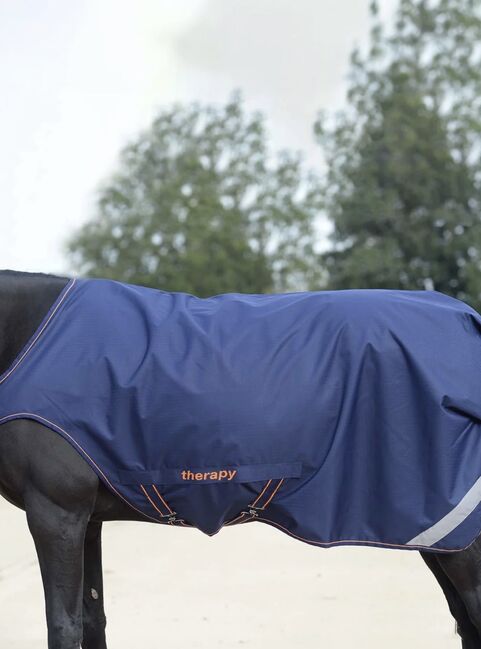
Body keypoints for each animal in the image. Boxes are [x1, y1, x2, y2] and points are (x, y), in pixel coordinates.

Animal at [1, 269, 481, 649]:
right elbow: (91, 620)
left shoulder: (55, 514)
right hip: (437, 533)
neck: (30, 336)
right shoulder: (87, 520)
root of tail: (467, 321)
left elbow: (63, 626)